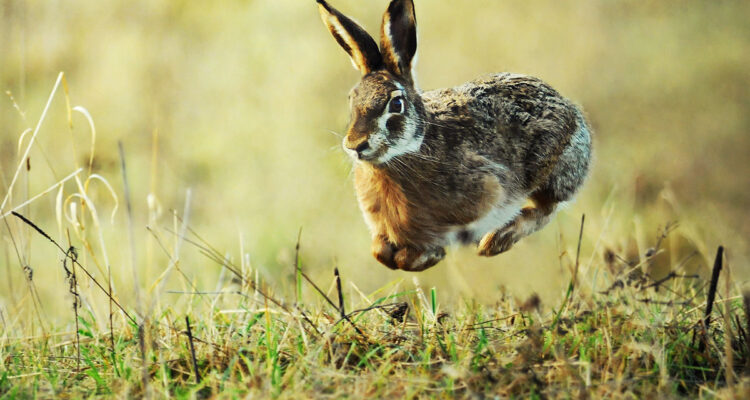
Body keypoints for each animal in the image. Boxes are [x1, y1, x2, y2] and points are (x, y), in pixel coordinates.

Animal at [316, 0, 592, 271]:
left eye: (396, 104)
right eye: (351, 99)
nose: (355, 145)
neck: (406, 153)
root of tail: (573, 113)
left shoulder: (487, 193)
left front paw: (430, 256)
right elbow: (379, 253)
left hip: (552, 167)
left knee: (547, 208)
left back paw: (495, 241)